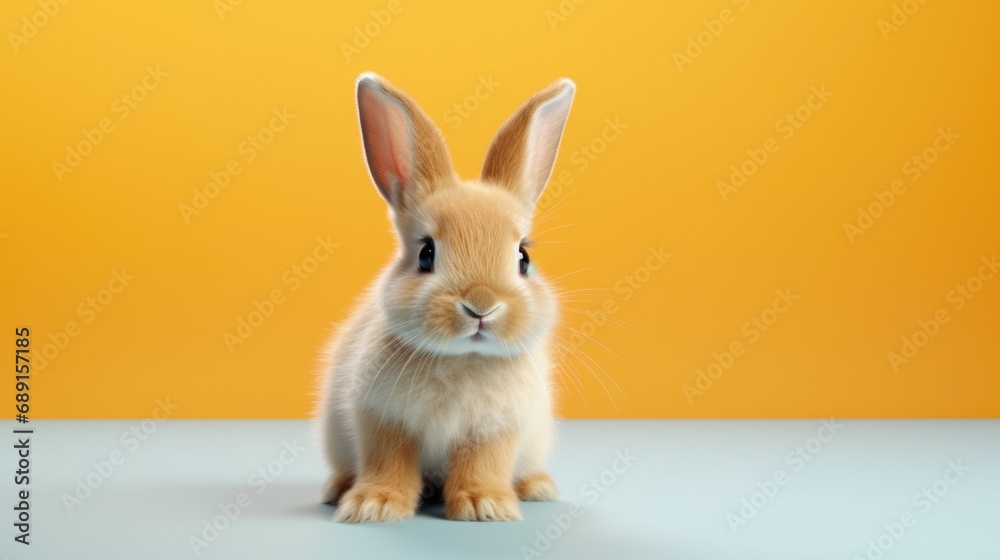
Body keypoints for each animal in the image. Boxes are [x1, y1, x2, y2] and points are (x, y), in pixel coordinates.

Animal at [317, 72, 575, 523]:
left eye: (523, 258)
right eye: (426, 254)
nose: (481, 305)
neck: (462, 358)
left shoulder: (496, 428)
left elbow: (483, 464)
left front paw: (483, 506)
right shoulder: (383, 420)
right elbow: (389, 462)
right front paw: (374, 506)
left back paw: (537, 487)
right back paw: (337, 488)